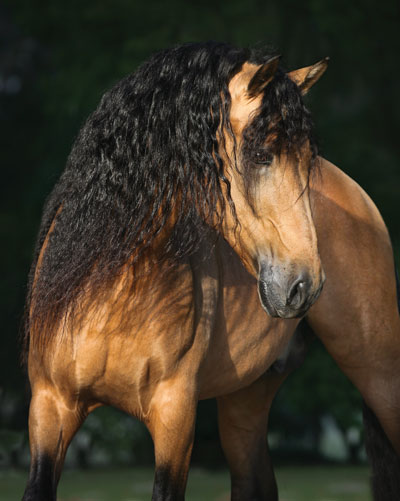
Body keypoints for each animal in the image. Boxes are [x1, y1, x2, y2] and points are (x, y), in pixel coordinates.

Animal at [22, 41, 400, 498]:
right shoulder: (50, 411)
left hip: (381, 376)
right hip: (245, 402)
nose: (304, 287)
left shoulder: (174, 418)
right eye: (261, 155)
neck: (110, 292)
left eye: (308, 158)